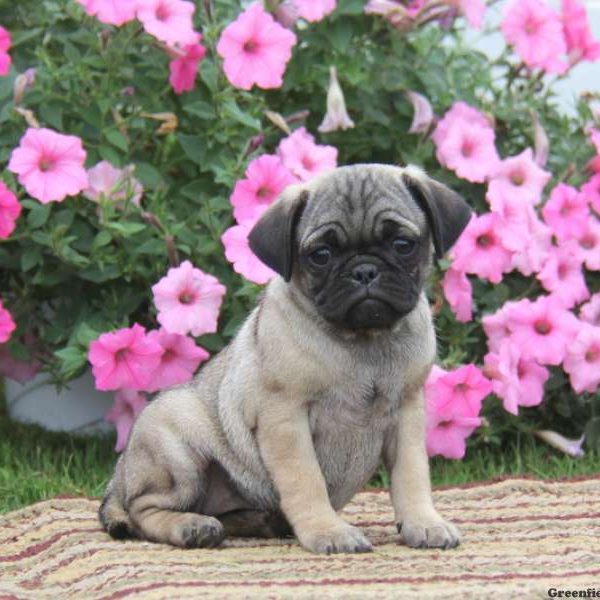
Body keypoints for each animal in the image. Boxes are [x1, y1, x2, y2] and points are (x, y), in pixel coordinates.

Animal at [99, 163, 474, 552]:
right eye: (321, 255)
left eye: (403, 245)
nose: (364, 271)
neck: (363, 340)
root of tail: (120, 476)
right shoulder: (286, 419)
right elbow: (306, 481)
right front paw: (328, 531)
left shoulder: (407, 414)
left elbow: (412, 477)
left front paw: (423, 522)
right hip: (178, 450)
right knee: (143, 509)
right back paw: (192, 526)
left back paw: (262, 521)